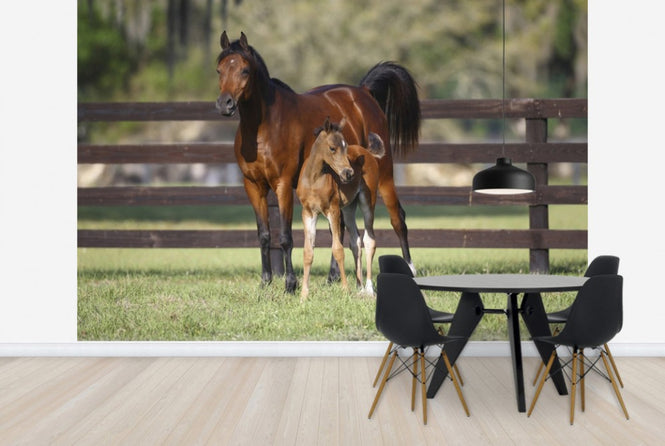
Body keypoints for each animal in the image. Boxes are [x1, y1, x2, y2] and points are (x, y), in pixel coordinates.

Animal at [297, 118, 384, 301]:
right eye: (332, 148)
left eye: (346, 147)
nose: (348, 173)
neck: (314, 179)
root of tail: (368, 153)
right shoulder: (308, 212)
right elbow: (308, 252)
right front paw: (303, 295)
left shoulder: (333, 210)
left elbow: (337, 249)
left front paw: (344, 290)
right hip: (349, 208)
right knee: (355, 241)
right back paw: (359, 287)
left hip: (367, 201)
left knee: (369, 240)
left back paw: (369, 289)